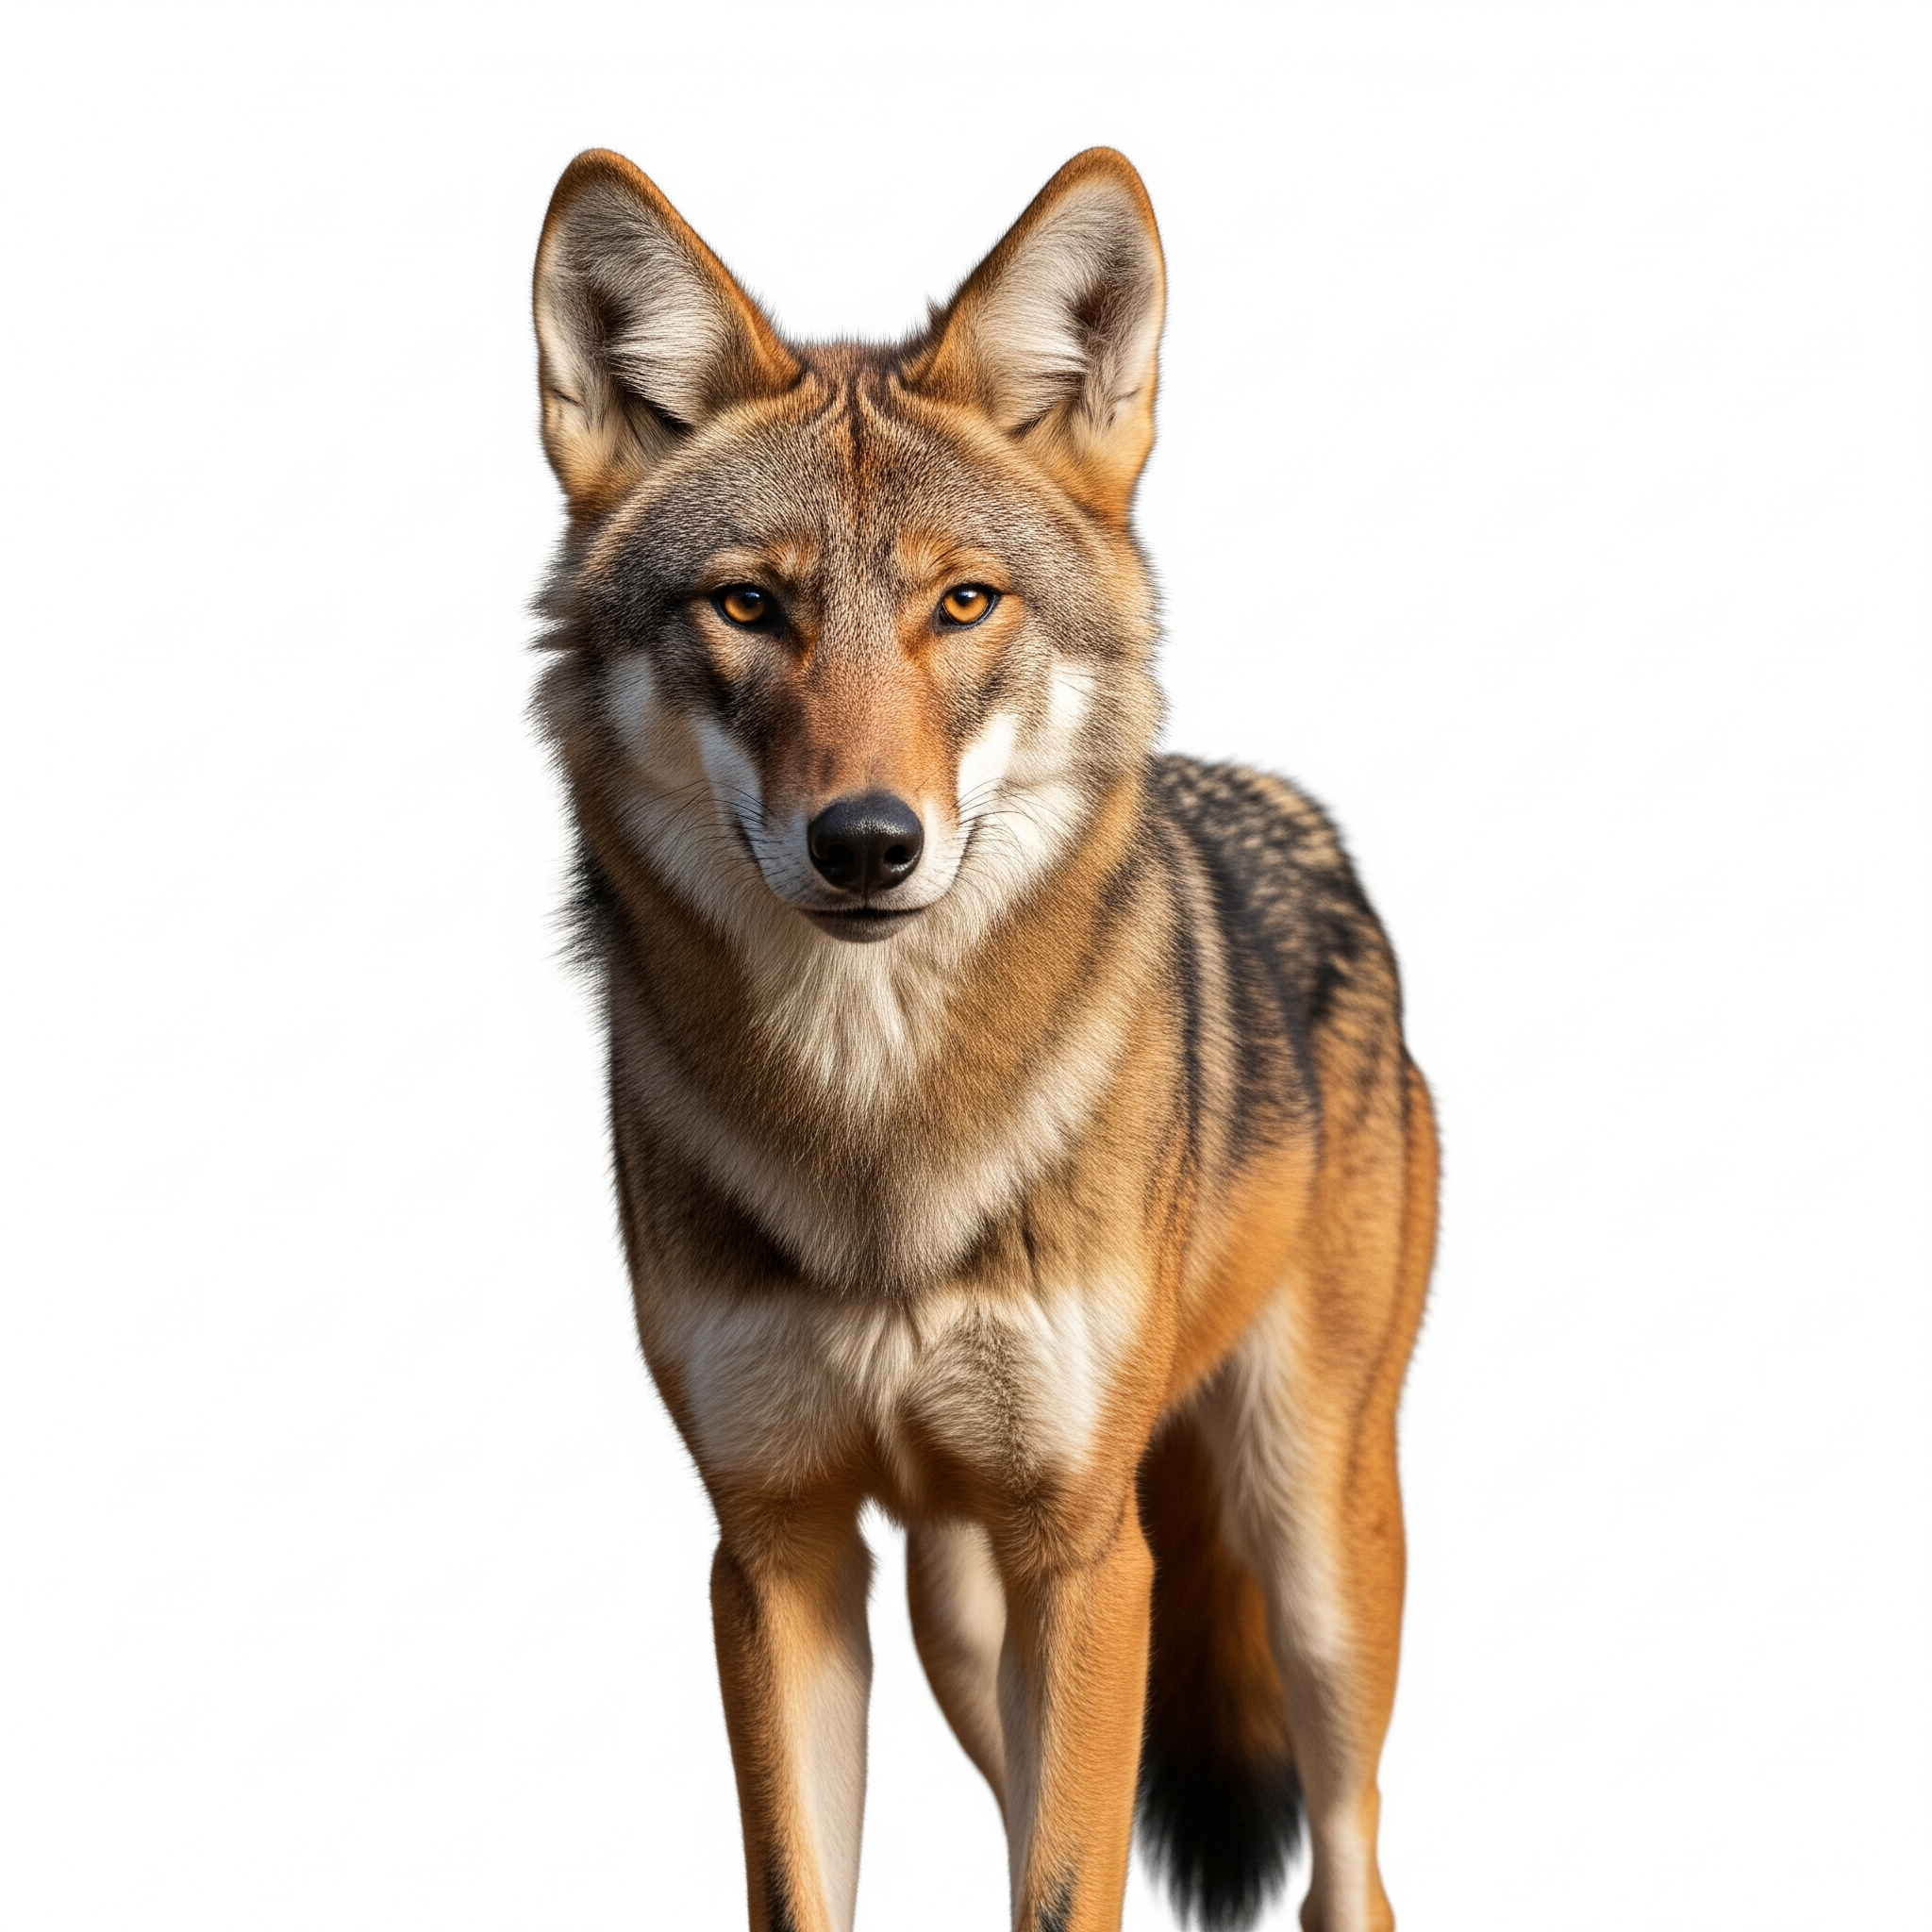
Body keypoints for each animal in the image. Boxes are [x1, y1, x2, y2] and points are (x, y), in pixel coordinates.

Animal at [531, 146, 1437, 1932]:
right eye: (749, 605)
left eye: (963, 604)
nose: (869, 843)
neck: (876, 1130)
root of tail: (1291, 810)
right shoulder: (778, 1548)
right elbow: (816, 1887)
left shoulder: (1086, 1550)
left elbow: (1071, 1883)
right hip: (966, 1617)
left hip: (1310, 1546)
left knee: (1345, 1869)